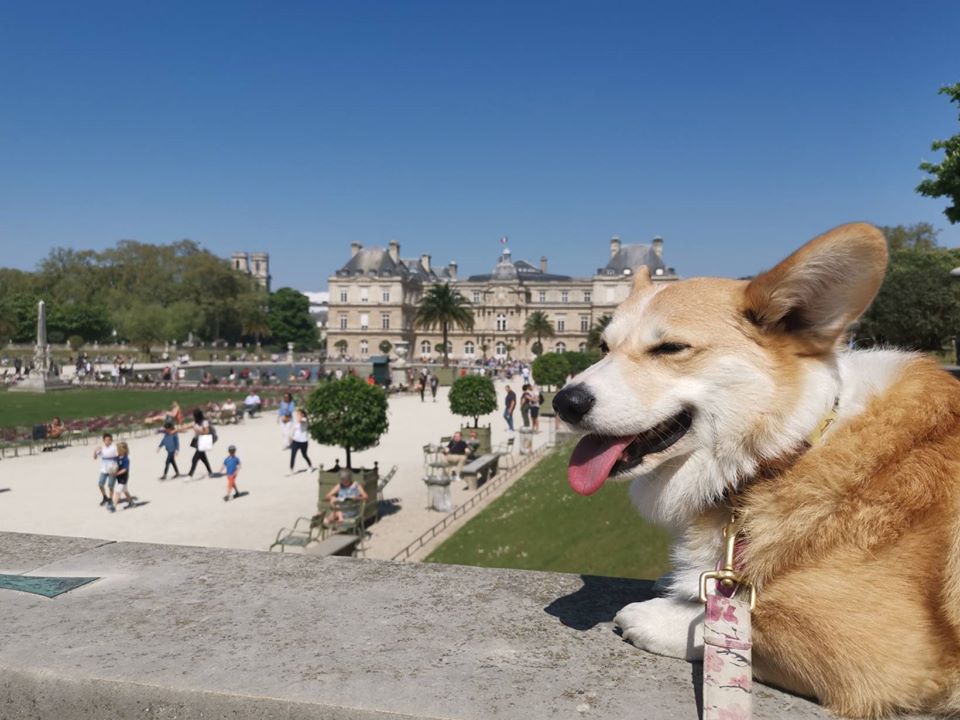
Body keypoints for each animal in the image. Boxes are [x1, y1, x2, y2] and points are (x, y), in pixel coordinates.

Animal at [552, 222, 960, 716]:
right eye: (603, 347)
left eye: (670, 348)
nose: (563, 402)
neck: (786, 452)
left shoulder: (885, 653)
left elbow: (739, 621)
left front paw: (658, 614)